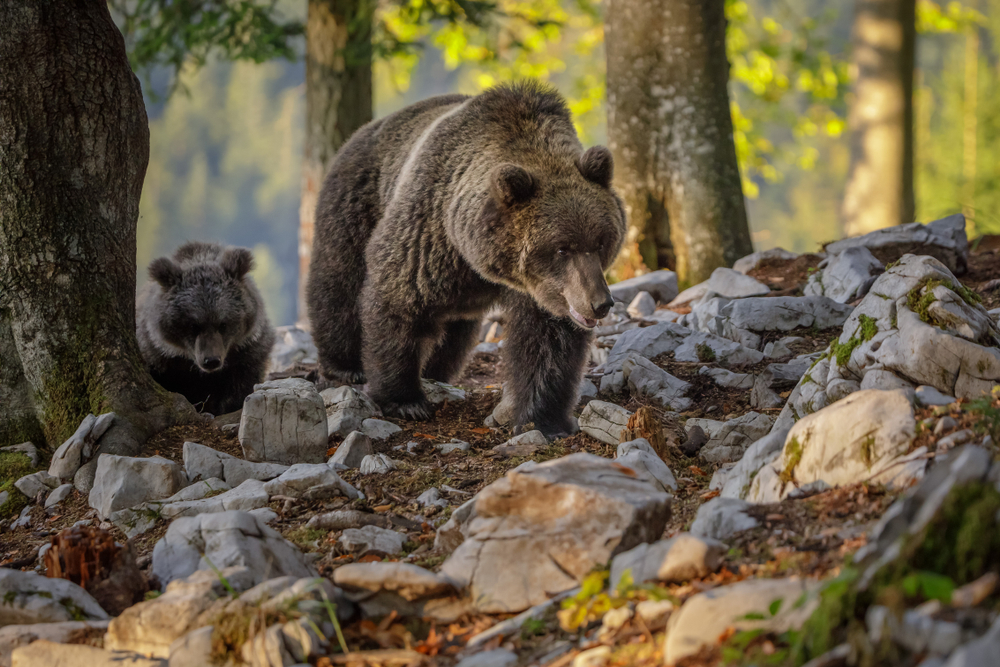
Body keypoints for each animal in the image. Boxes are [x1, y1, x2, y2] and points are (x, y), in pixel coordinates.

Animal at [306, 81, 624, 438]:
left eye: (600, 242)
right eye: (561, 248)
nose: (599, 303)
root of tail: (362, 131)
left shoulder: (543, 291)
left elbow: (548, 344)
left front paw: (544, 419)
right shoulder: (428, 232)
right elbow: (397, 299)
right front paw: (404, 400)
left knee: (454, 333)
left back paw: (435, 370)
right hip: (356, 201)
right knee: (339, 282)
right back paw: (345, 366)